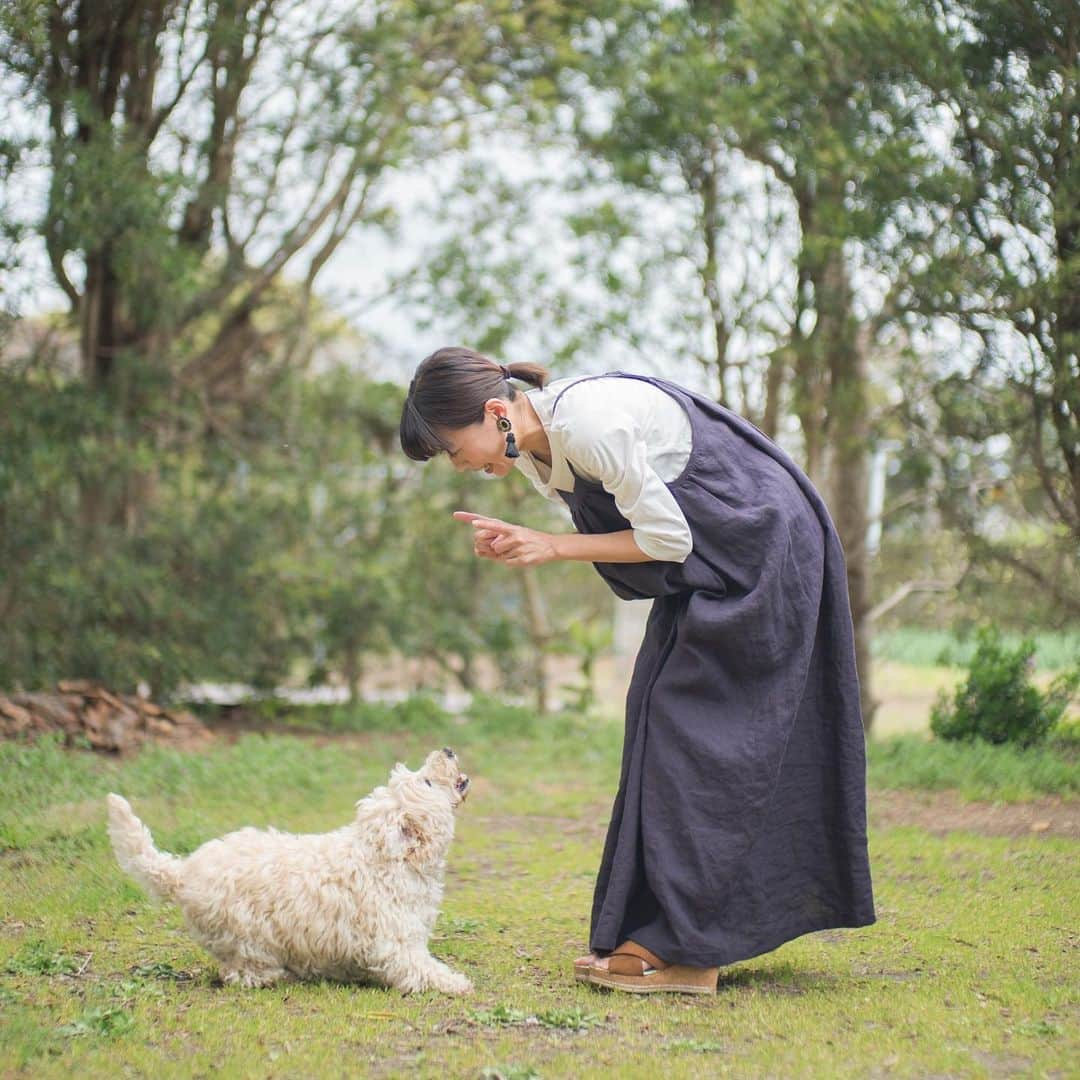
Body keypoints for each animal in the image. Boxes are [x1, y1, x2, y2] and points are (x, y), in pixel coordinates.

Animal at [108, 747, 473, 989]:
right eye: (426, 782)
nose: (447, 751)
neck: (388, 859)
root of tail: (183, 873)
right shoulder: (395, 943)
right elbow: (419, 969)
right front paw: (455, 982)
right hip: (247, 935)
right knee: (240, 971)